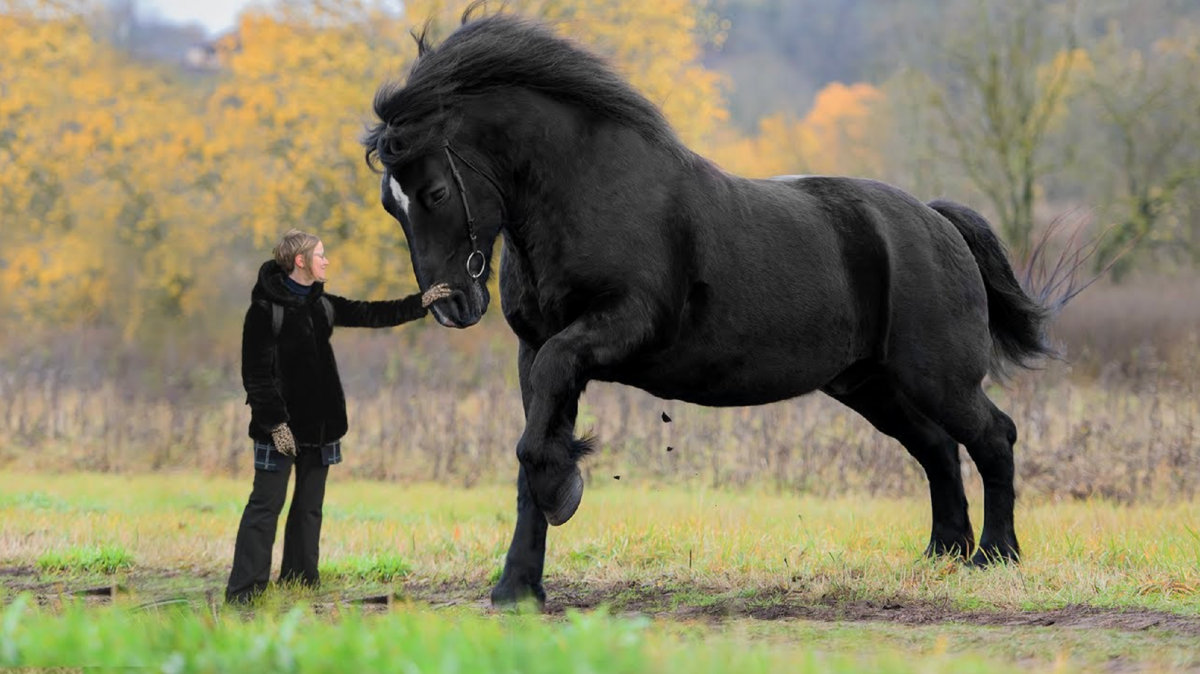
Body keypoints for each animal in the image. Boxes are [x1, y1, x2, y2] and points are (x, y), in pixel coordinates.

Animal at [364, 6, 1080, 604]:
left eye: (432, 191)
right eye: (389, 203)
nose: (452, 305)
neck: (589, 192)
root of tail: (936, 222)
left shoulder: (614, 331)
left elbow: (536, 444)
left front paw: (562, 491)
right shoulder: (537, 350)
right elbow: (531, 443)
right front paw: (518, 587)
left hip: (937, 377)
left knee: (994, 436)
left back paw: (996, 556)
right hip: (871, 385)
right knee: (937, 449)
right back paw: (944, 554)